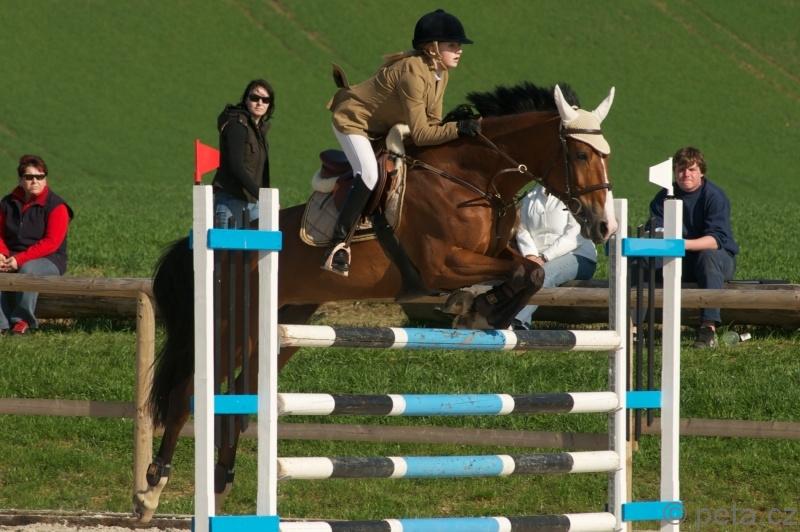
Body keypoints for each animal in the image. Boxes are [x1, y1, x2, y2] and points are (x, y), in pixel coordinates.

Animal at [133, 82, 617, 521]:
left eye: (606, 154)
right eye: (580, 156)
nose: (604, 227)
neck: (475, 178)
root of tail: (224, 240)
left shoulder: (495, 253)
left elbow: (531, 270)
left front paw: (483, 310)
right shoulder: (439, 265)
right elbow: (522, 272)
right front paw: (477, 309)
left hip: (279, 324)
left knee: (238, 397)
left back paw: (221, 484)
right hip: (231, 323)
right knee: (187, 392)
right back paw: (151, 491)